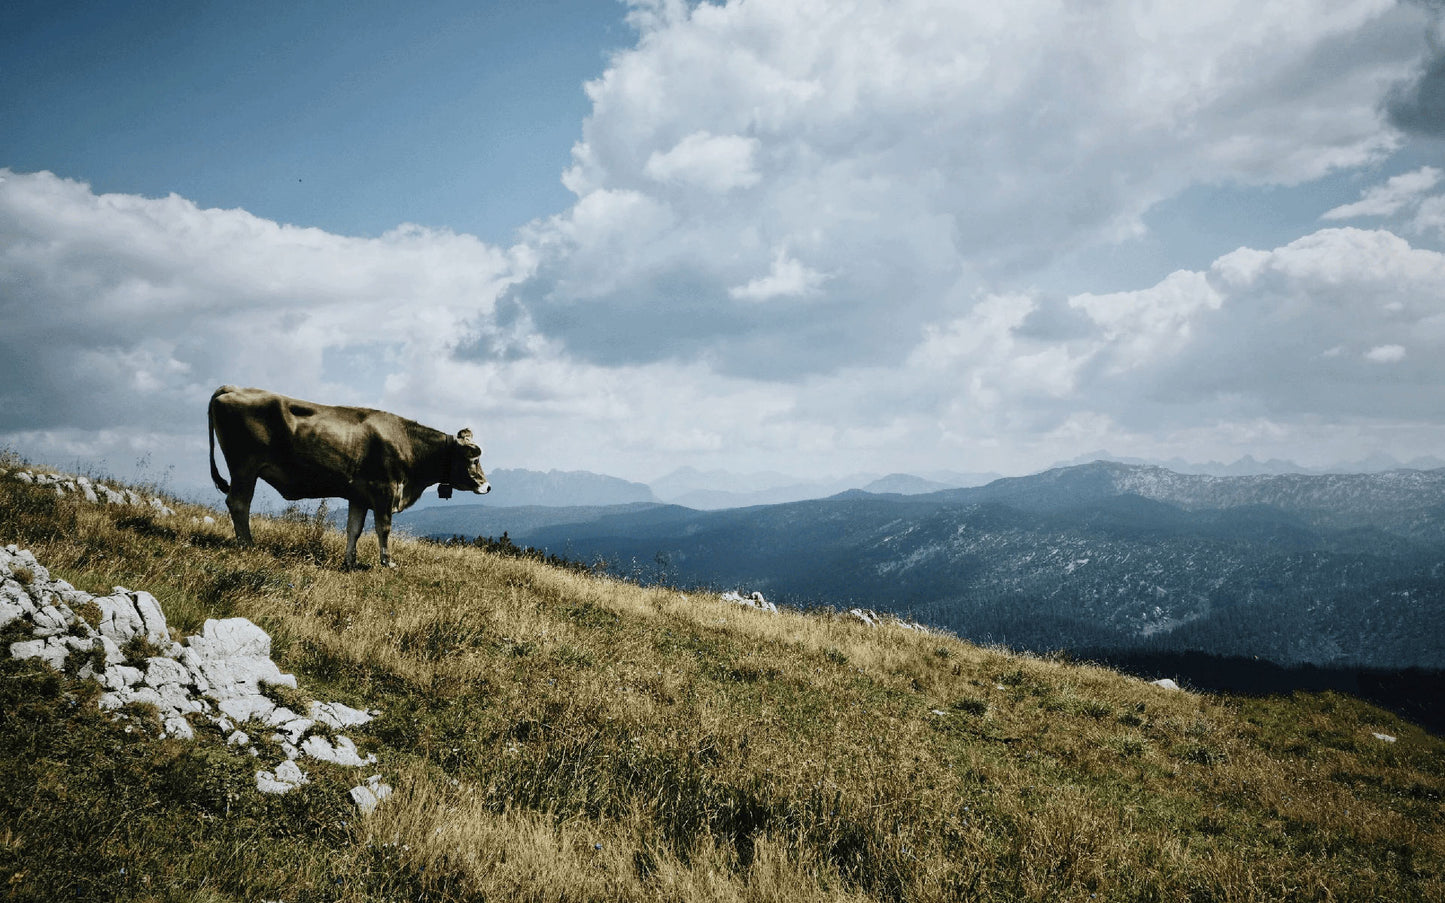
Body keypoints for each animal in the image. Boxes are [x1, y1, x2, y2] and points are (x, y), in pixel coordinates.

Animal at [209, 384, 491, 566]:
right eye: (474, 458)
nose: (487, 486)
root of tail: (232, 387)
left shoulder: (359, 496)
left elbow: (353, 529)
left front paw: (350, 562)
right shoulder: (384, 490)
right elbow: (383, 528)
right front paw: (387, 562)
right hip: (245, 467)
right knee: (239, 503)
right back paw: (248, 545)